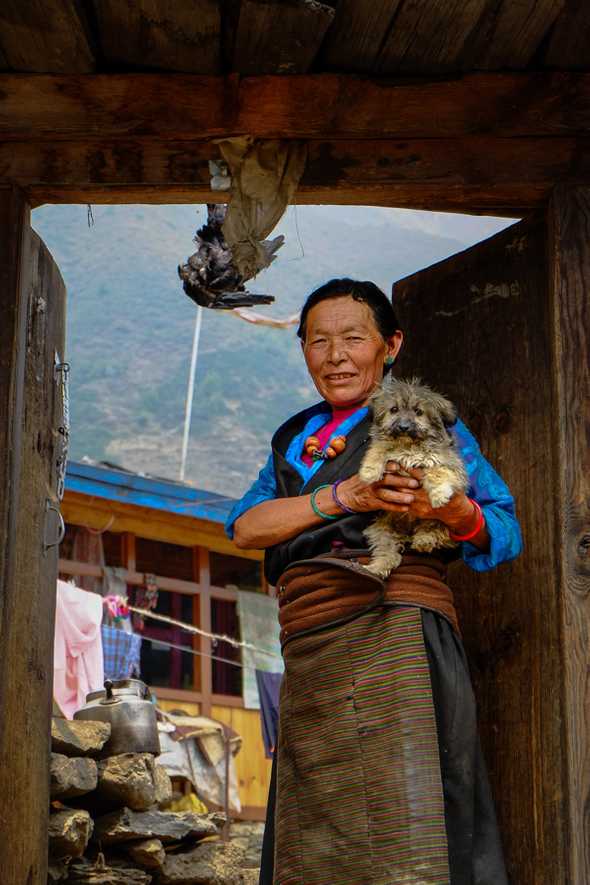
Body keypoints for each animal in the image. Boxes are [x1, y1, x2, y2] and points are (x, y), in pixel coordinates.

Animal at [358, 376, 470, 576]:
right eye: (394, 409)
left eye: (418, 412)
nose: (403, 427)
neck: (408, 446)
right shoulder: (388, 449)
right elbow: (379, 448)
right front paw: (369, 471)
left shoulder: (450, 465)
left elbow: (436, 471)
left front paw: (439, 495)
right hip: (382, 530)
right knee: (389, 555)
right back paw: (375, 568)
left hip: (444, 521)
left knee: (438, 532)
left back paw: (424, 539)